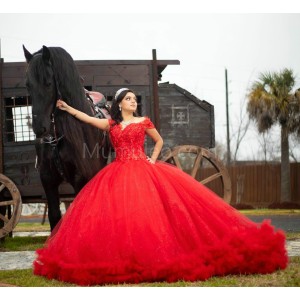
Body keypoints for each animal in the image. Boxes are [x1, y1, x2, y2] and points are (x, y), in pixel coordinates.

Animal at [22, 45, 109, 231]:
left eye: (48, 83)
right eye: (28, 85)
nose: (39, 128)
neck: (57, 139)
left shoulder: (80, 177)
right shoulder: (47, 178)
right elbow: (55, 216)